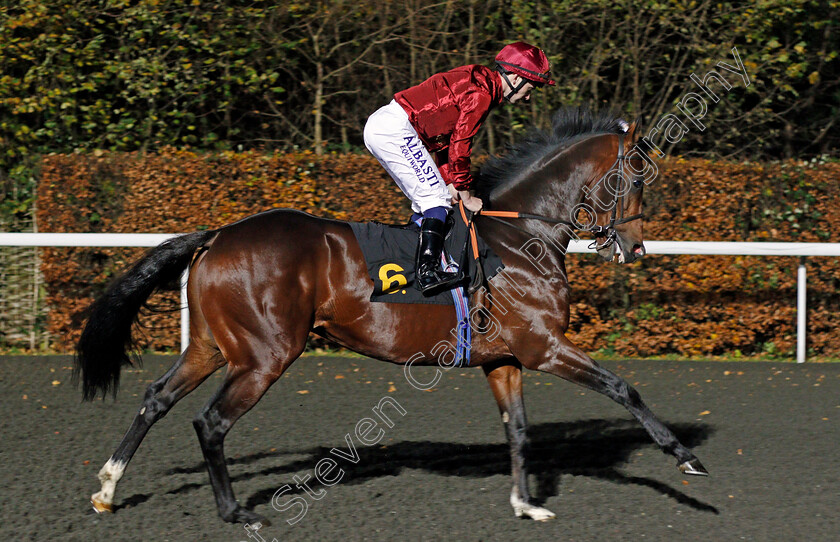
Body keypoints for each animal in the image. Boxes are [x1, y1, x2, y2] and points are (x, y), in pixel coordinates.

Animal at [77, 108, 708, 528]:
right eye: (636, 177)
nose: (634, 249)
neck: (521, 237)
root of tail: (217, 235)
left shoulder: (504, 359)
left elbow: (520, 429)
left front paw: (526, 504)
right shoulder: (544, 346)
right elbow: (623, 388)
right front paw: (686, 459)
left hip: (213, 345)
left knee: (157, 397)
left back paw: (108, 487)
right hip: (264, 355)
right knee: (210, 423)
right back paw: (235, 512)